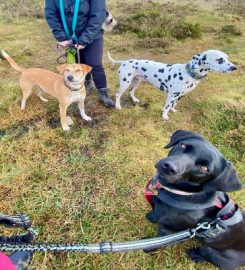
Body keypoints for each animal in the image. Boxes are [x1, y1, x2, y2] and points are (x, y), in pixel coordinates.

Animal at [107, 49, 237, 121]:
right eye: (219, 59)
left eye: (227, 58)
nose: (234, 67)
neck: (188, 73)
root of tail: (125, 61)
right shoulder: (171, 95)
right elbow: (166, 107)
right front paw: (164, 116)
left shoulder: (179, 95)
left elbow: (173, 105)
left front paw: (173, 110)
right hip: (125, 82)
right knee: (118, 95)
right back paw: (118, 106)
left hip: (136, 81)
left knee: (131, 91)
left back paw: (134, 100)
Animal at [146, 130, 244, 268]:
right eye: (183, 145)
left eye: (204, 168)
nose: (169, 167)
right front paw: (152, 215)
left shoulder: (168, 232)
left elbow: (156, 242)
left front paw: (147, 248)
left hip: (212, 251)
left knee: (206, 255)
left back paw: (195, 254)